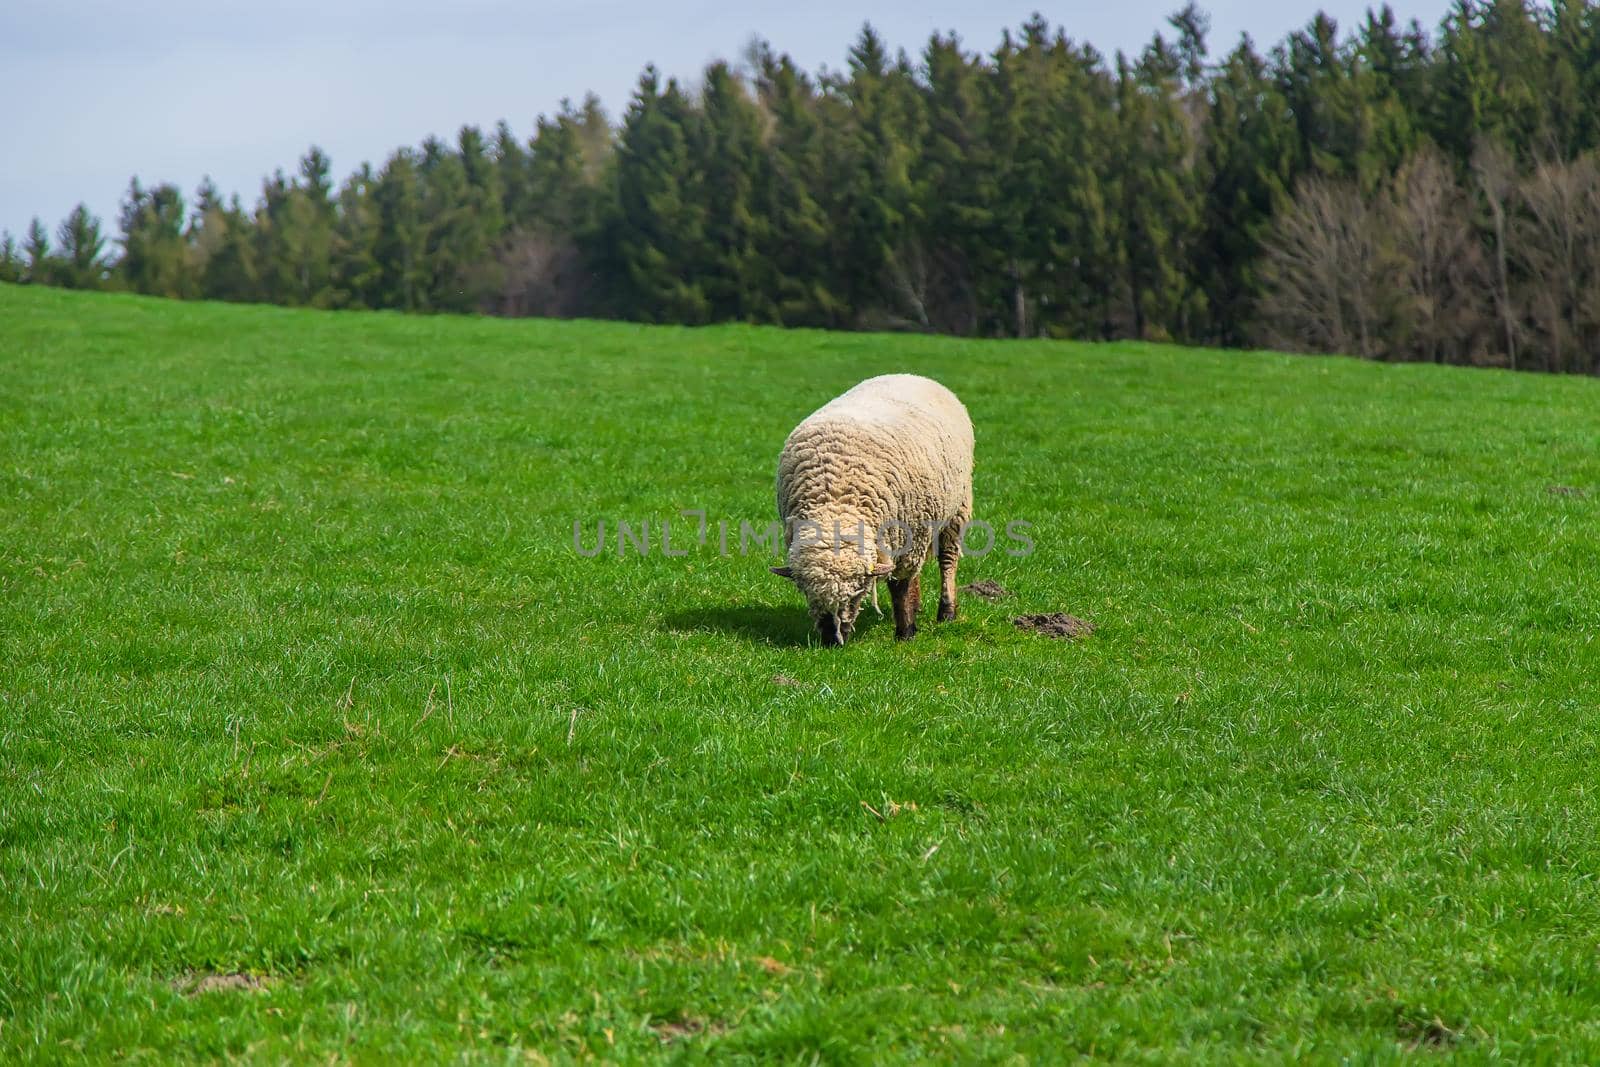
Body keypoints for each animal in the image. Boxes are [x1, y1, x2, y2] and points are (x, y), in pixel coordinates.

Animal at [774, 371, 972, 646]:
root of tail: (909, 374)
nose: (833, 641)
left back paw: (947, 611)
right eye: (806, 592)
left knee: (948, 560)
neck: (837, 503)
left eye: (858, 591)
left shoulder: (910, 536)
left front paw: (906, 631)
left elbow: (900, 587)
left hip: (956, 510)